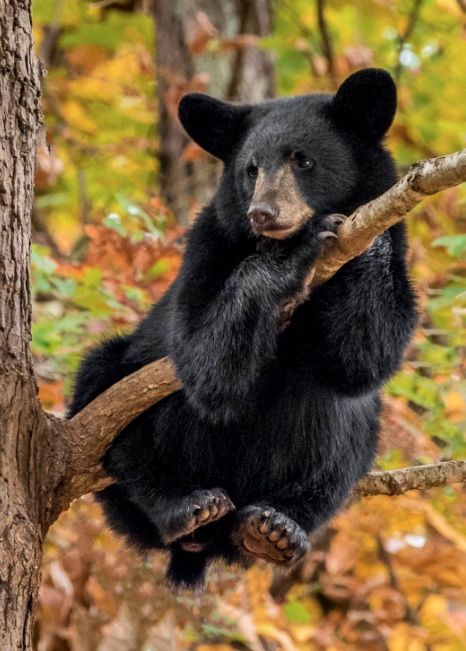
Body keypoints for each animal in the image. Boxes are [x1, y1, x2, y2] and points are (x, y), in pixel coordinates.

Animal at [68, 67, 416, 592]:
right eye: (250, 169)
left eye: (303, 160)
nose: (263, 214)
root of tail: (201, 548)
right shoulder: (206, 248)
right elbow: (205, 359)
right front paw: (296, 247)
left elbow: (362, 358)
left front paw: (356, 239)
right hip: (124, 394)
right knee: (113, 401)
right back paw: (185, 504)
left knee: (351, 432)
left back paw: (276, 527)